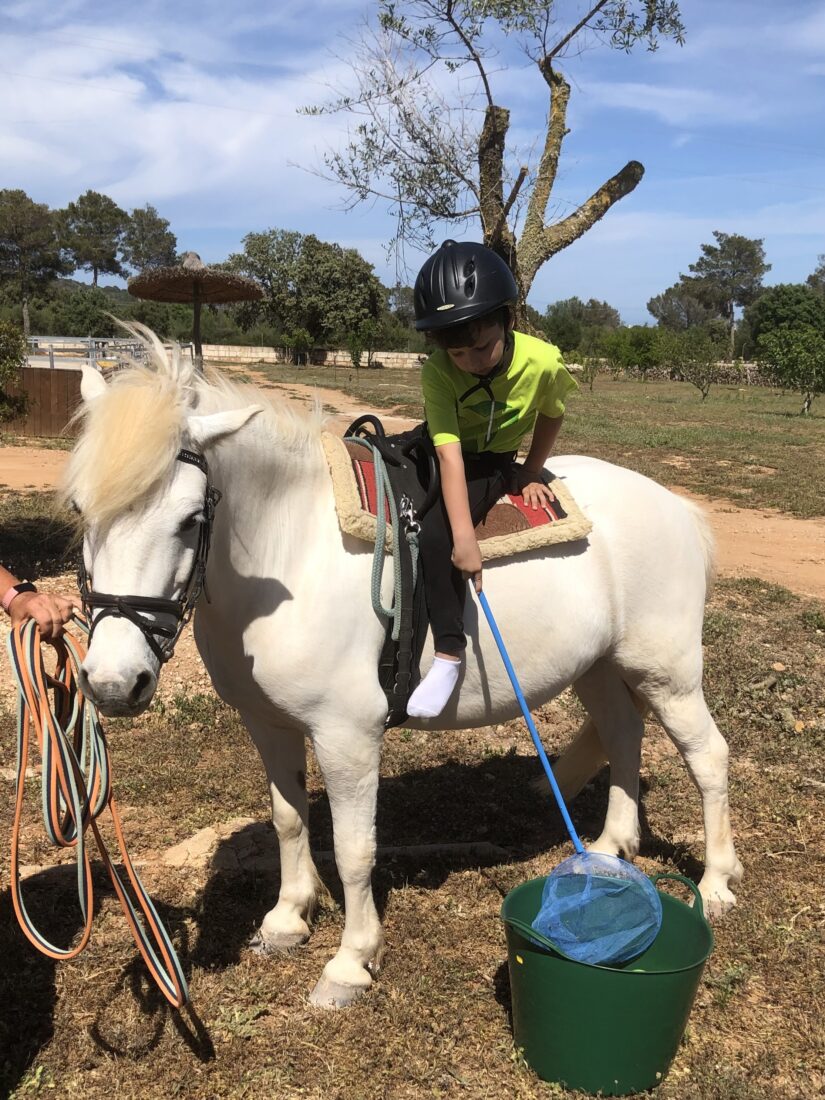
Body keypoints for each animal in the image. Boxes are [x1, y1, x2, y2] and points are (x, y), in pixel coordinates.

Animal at [67, 325, 748, 1007]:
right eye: (78, 508)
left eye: (191, 518)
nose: (114, 683)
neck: (292, 551)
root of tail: (678, 507)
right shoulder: (268, 723)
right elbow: (289, 820)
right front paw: (287, 920)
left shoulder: (347, 734)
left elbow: (354, 849)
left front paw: (350, 963)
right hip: (601, 668)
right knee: (623, 734)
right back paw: (610, 851)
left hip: (668, 674)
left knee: (708, 757)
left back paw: (716, 883)